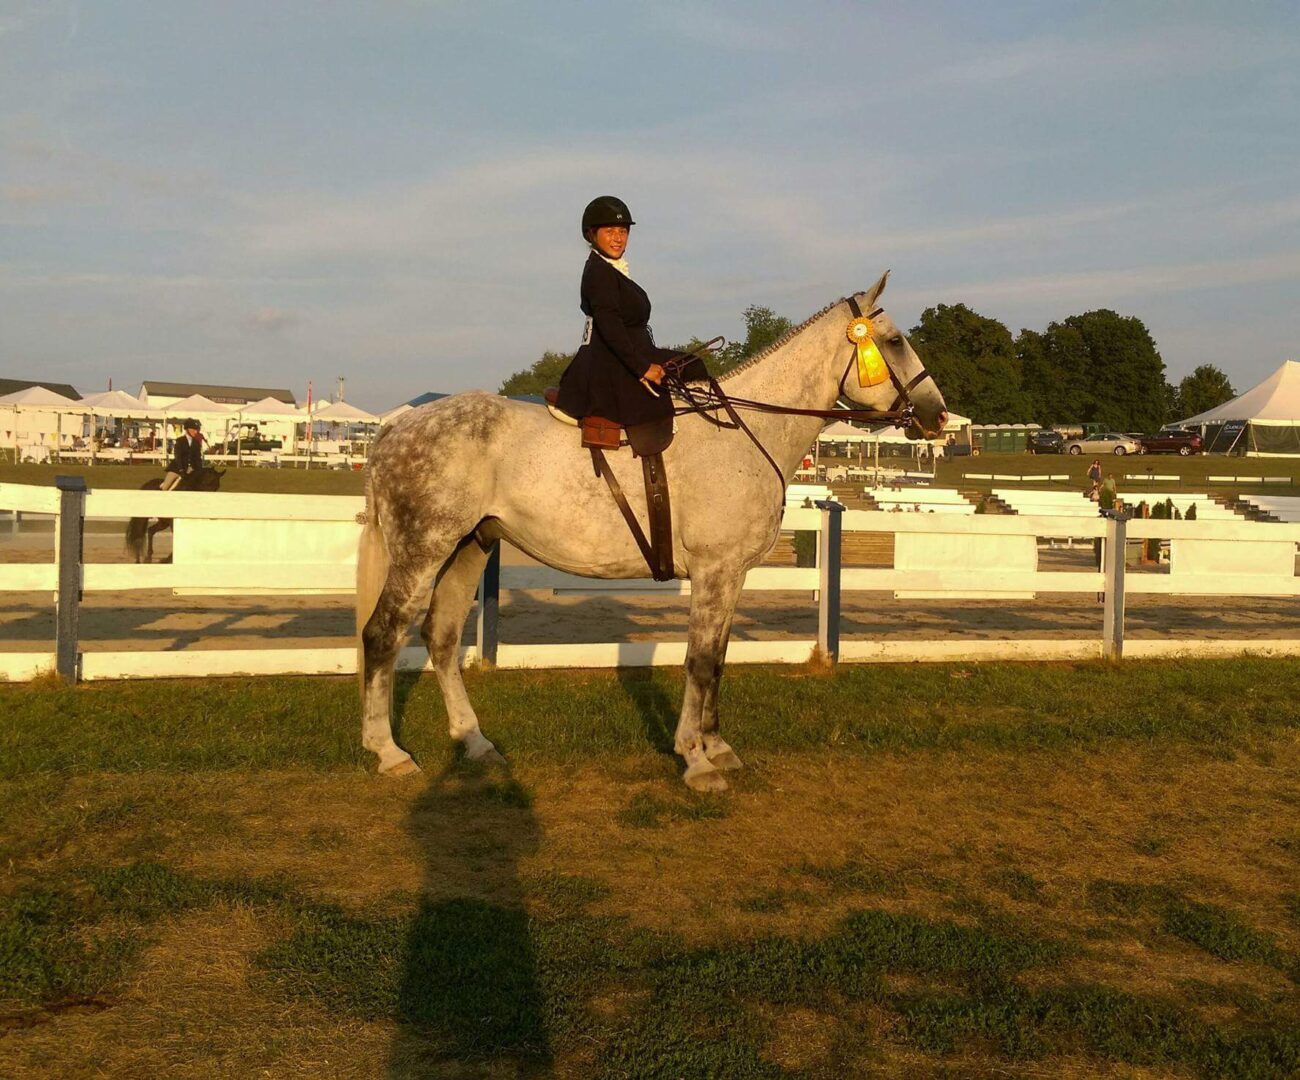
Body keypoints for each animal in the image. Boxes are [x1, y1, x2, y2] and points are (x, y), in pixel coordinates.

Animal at [356, 272, 946, 795]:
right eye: (894, 341)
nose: (939, 416)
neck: (745, 432)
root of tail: (397, 425)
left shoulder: (730, 575)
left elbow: (719, 660)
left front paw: (718, 747)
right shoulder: (713, 571)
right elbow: (699, 662)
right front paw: (695, 759)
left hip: (468, 549)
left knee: (441, 638)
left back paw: (475, 742)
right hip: (424, 551)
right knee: (383, 634)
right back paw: (388, 752)